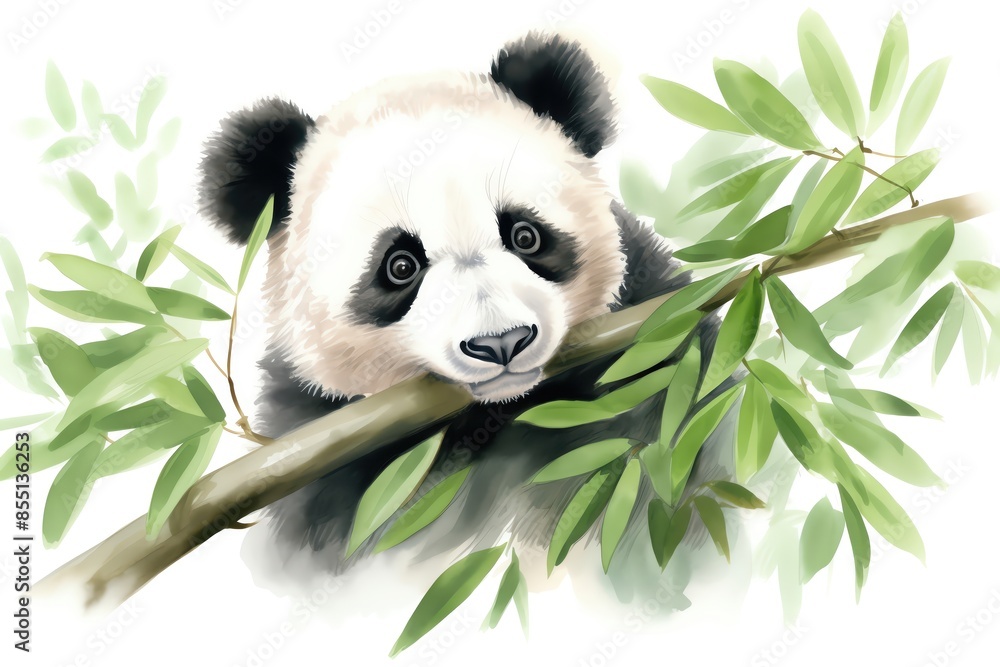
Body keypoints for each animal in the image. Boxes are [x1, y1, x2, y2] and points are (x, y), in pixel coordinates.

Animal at [197, 33, 731, 587]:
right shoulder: (318, 447)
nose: (502, 343)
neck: (498, 413)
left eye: (524, 235)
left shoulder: (654, 350)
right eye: (401, 265)